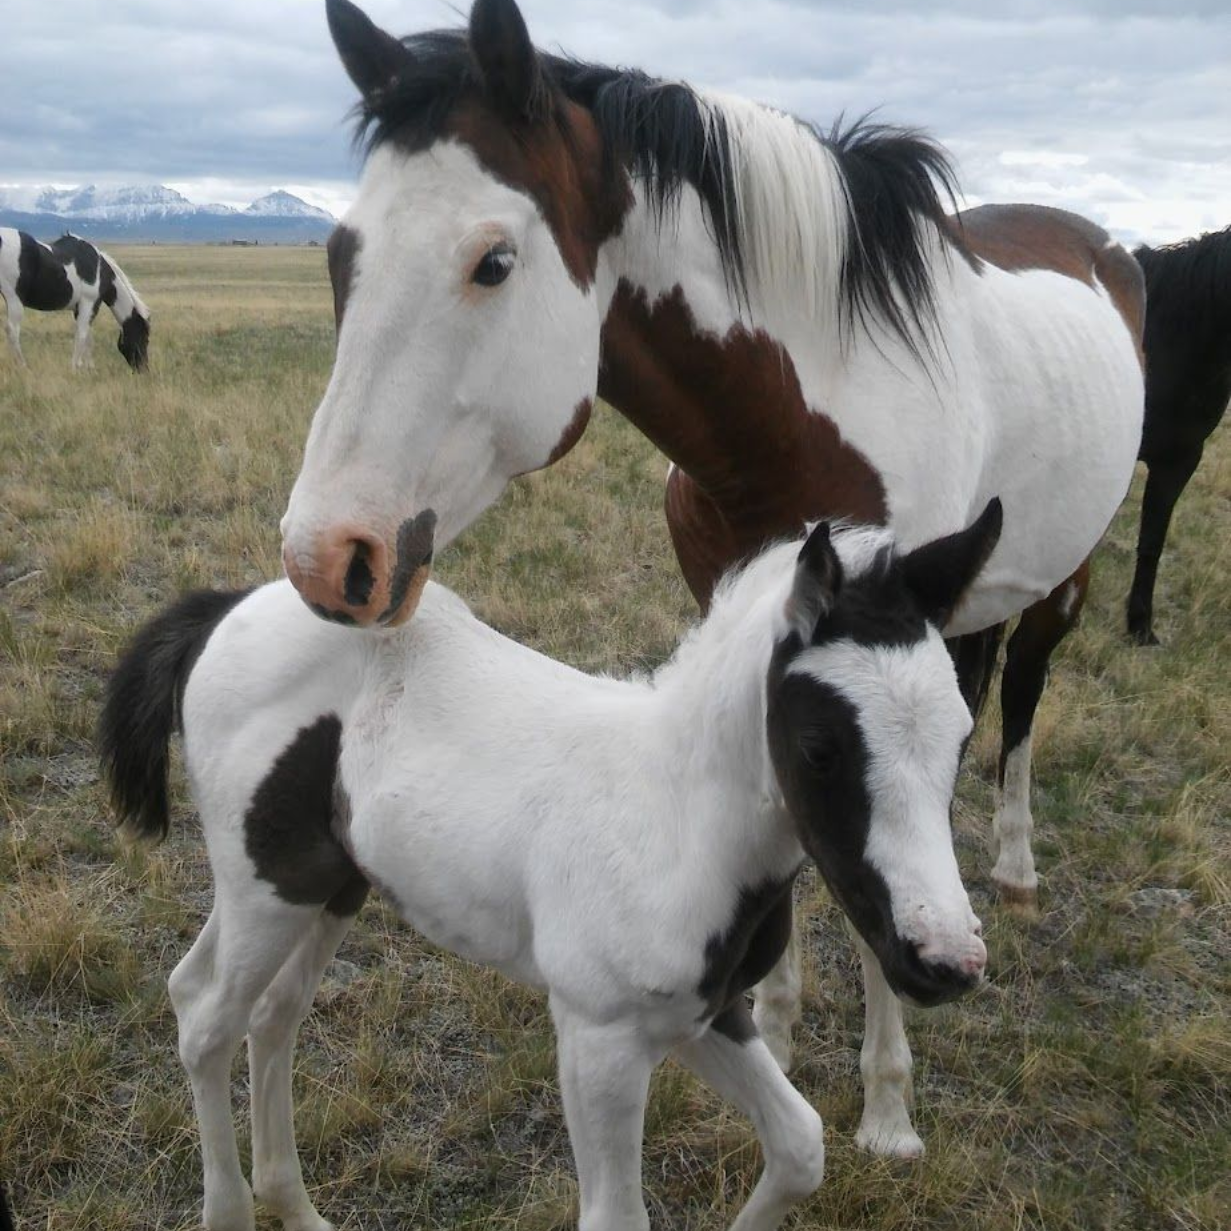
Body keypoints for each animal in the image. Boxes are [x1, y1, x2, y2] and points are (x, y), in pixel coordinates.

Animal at [0, 228, 150, 370]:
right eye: (144, 338)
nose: (143, 369)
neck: (100, 271)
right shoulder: (89, 303)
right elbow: (81, 335)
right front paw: (76, 367)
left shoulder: (80, 309)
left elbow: (88, 338)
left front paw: (89, 368)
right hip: (14, 299)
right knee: (13, 331)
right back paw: (23, 366)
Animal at [100, 506, 1001, 1231]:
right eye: (818, 747)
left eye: (962, 735)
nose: (944, 961)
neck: (677, 820)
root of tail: (226, 607)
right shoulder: (599, 1034)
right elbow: (616, 1218)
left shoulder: (701, 1012)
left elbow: (800, 1145)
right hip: (268, 882)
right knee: (207, 1019)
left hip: (328, 884)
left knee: (263, 1012)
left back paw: (298, 1207)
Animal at [278, 0, 1146, 1153]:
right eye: (340, 254)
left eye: (493, 261)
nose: (327, 557)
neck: (798, 411)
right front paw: (770, 1031)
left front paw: (886, 1109)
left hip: (1066, 582)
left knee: (1023, 696)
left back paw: (1010, 862)